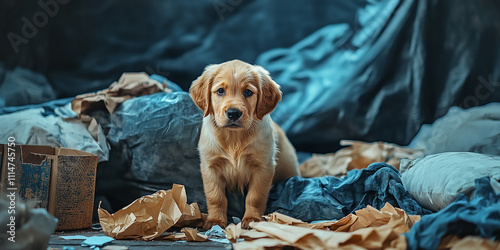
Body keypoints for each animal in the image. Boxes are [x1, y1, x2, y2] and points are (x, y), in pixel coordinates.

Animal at [190, 59, 300, 229]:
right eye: (220, 91)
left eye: (248, 92)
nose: (233, 113)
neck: (234, 138)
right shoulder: (210, 167)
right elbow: (216, 197)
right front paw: (215, 221)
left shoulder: (263, 167)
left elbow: (255, 196)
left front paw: (252, 219)